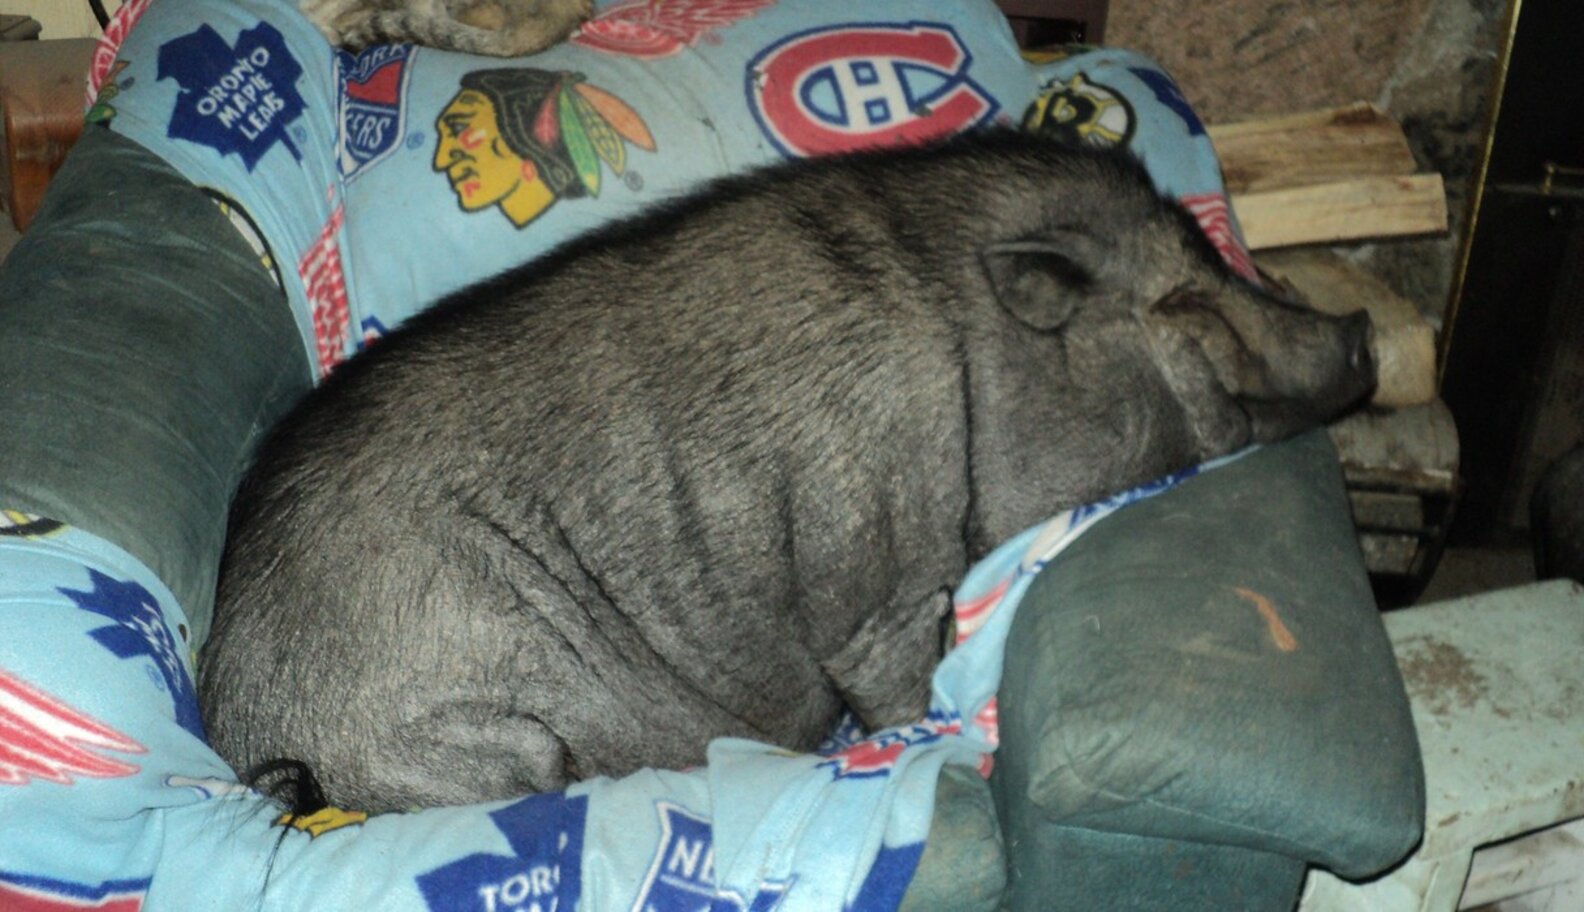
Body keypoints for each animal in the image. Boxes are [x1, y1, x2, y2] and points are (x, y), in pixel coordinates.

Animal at [198, 130, 1375, 813]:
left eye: (1213, 262)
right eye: (1182, 302)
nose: (1361, 329)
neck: (979, 362)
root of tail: (234, 717)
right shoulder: (881, 585)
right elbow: (894, 683)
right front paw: (921, 741)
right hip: (465, 732)